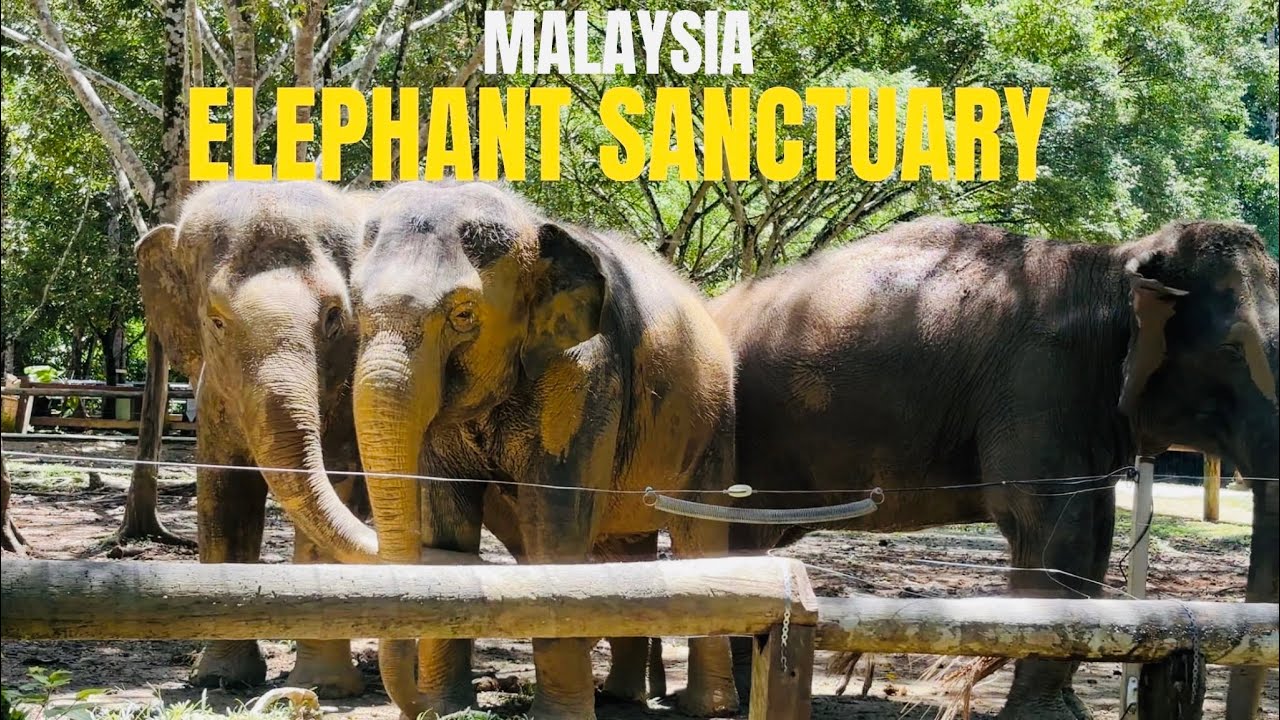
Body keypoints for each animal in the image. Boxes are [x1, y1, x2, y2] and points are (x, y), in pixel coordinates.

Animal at [136, 181, 379, 696]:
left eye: (334, 317)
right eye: (216, 320)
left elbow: (337, 487)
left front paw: (325, 687)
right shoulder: (213, 398)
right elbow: (224, 498)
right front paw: (218, 679)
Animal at [346, 181, 738, 720]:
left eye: (463, 315)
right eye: (356, 307)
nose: (419, 706)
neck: (533, 227)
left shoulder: (585, 376)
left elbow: (556, 525)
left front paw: (559, 715)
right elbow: (447, 521)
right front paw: (450, 707)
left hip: (713, 431)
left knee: (699, 538)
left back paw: (706, 708)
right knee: (624, 548)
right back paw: (621, 695)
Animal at [710, 218, 1278, 720]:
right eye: (1231, 350)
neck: (1114, 261)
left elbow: (1092, 536)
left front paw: (1069, 711)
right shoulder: (1036, 381)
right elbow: (1057, 531)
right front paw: (1046, 717)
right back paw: (739, 697)